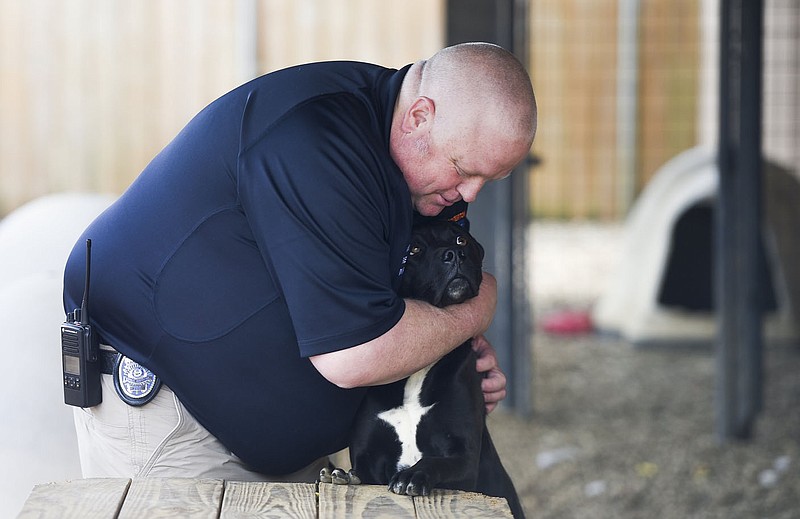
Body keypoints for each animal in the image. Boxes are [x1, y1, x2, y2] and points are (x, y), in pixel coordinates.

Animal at [340, 221, 520, 519]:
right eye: (413, 249)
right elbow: (360, 474)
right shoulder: (367, 459)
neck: (414, 379)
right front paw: (342, 476)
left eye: (460, 240)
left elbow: (437, 462)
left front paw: (412, 475)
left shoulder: (465, 457)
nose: (454, 255)